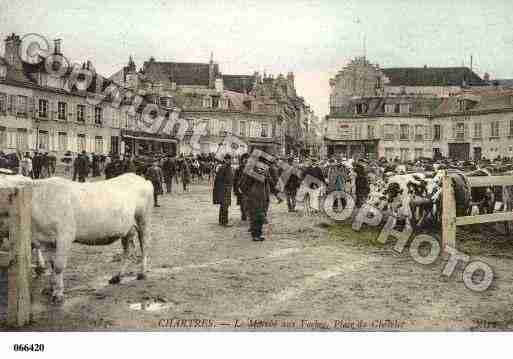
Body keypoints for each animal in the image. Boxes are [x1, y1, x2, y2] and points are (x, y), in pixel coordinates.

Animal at [0, 174, 153, 304]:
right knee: (128, 250)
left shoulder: (65, 236)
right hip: (126, 230)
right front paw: (51, 288)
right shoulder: (49, 241)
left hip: (143, 221)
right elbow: (52, 264)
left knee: (144, 246)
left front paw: (58, 294)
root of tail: (140, 178)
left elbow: (59, 266)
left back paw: (142, 273)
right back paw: (118, 276)